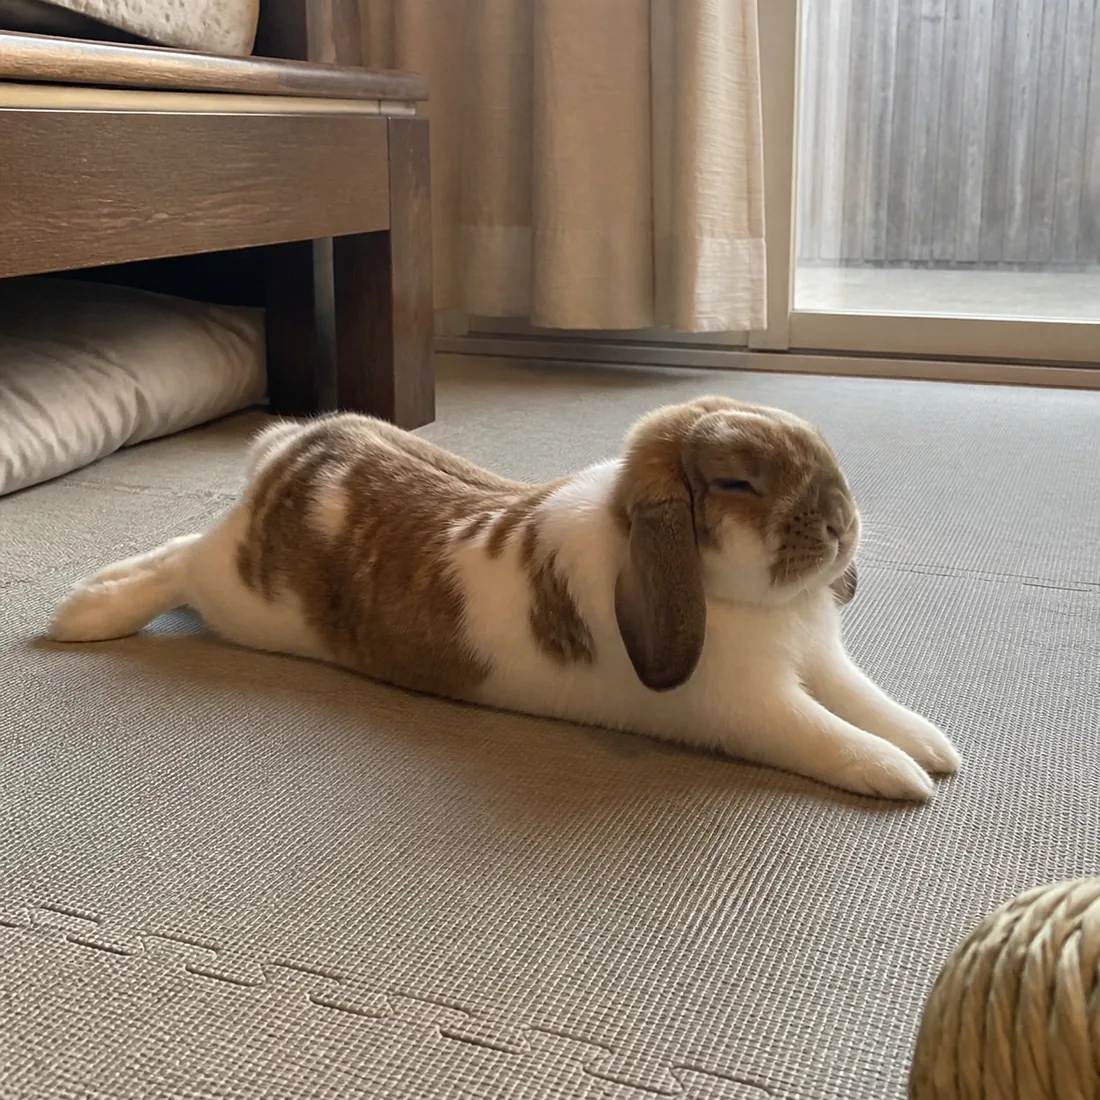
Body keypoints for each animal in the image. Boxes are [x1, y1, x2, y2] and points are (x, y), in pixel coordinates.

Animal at [49, 396, 960, 801]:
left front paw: (934, 748)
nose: (842, 526)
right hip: (246, 600)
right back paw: (82, 614)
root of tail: (296, 450)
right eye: (737, 481)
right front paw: (903, 778)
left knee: (180, 549)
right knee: (179, 565)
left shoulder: (822, 664)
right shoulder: (754, 707)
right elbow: (829, 737)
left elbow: (868, 703)